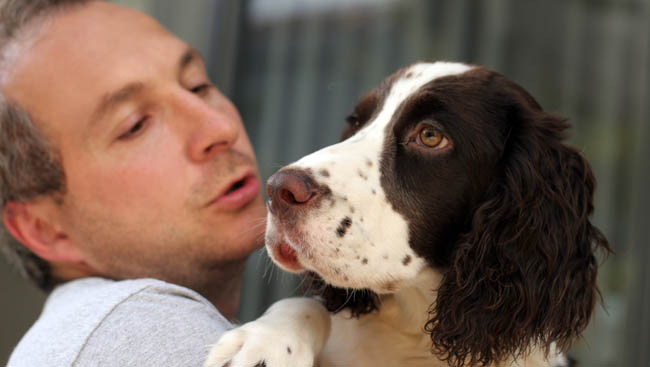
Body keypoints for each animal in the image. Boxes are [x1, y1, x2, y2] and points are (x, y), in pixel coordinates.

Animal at [205, 62, 612, 367]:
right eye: (356, 123)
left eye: (430, 136)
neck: (418, 332)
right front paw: (265, 342)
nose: (279, 190)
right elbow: (309, 305)